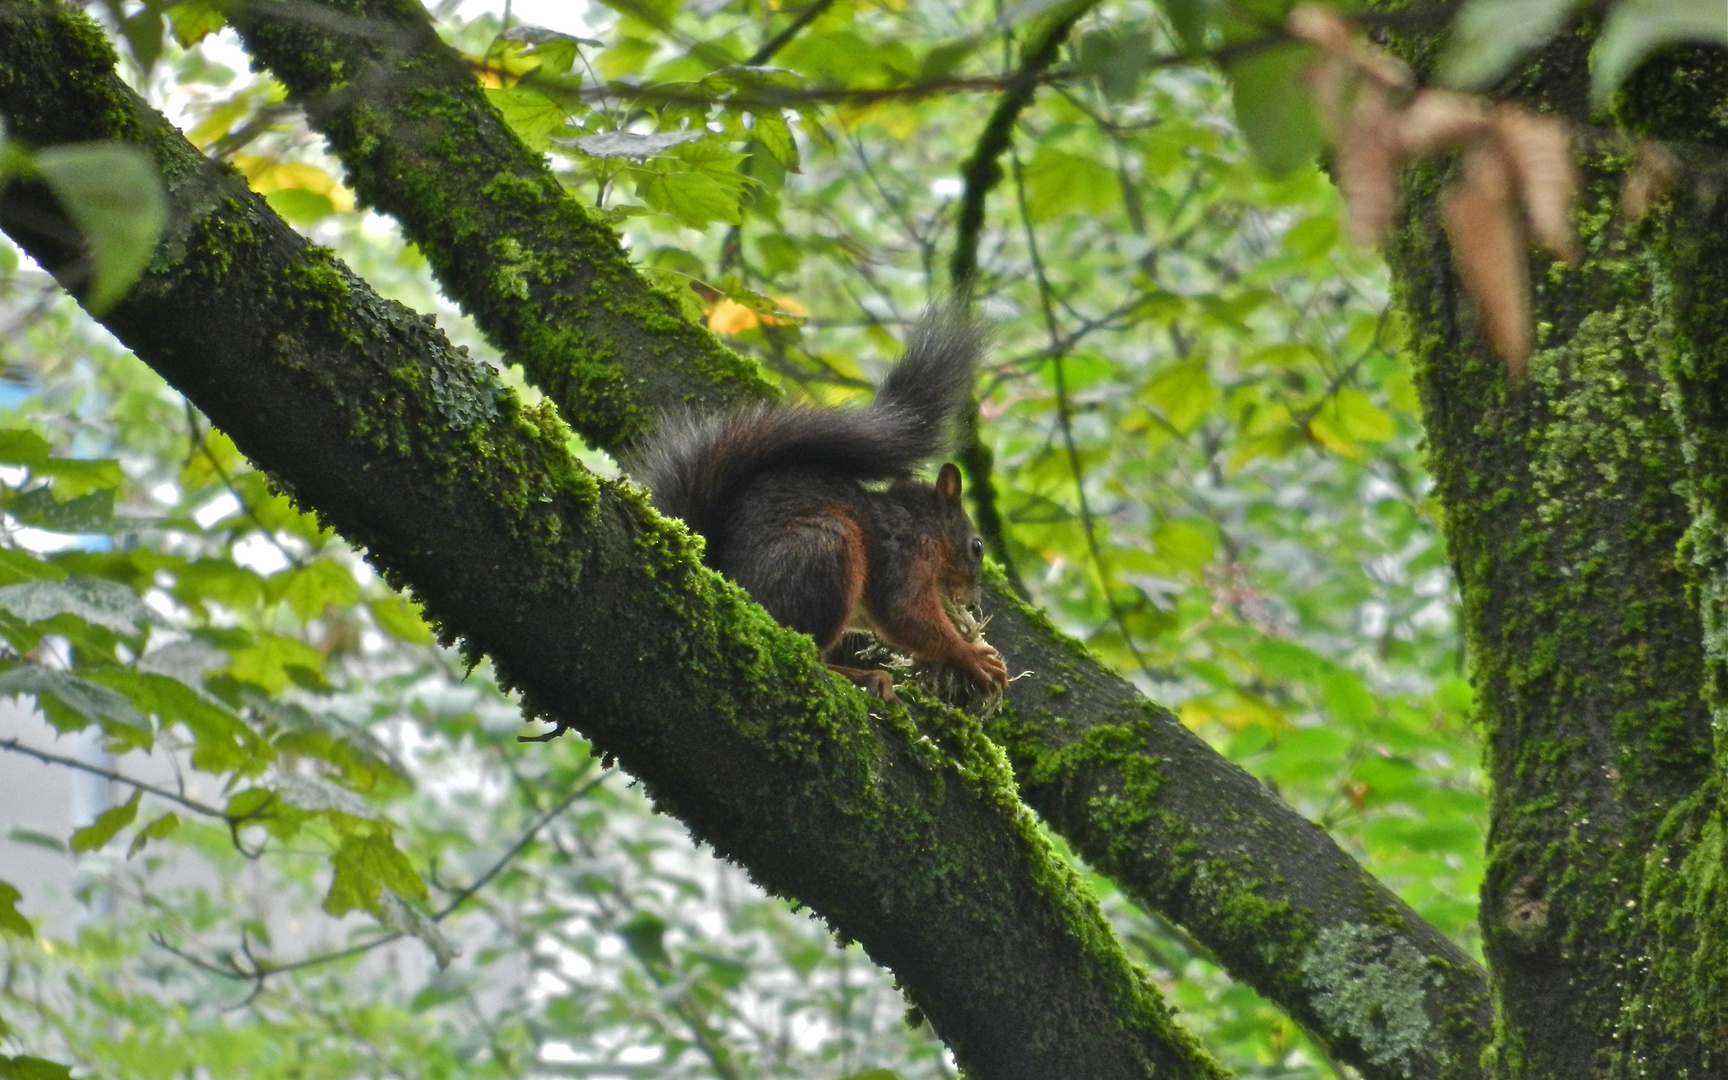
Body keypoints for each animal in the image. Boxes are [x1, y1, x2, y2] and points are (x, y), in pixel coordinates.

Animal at [635, 314, 1009, 698]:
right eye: (977, 547)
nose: (973, 604)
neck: (922, 522)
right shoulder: (908, 553)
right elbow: (906, 614)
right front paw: (971, 655)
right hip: (826, 550)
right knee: (808, 650)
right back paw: (862, 676)